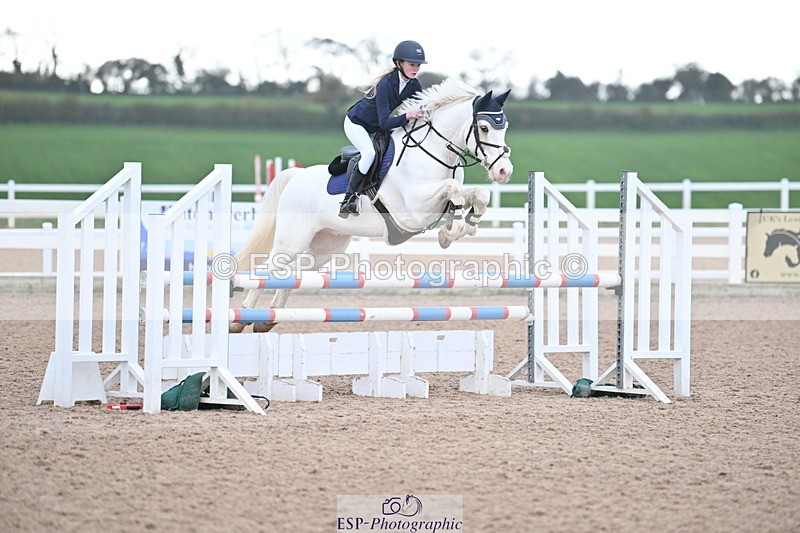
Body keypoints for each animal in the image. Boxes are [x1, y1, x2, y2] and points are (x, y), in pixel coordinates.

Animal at [232, 78, 514, 333]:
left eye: (504, 127)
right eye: (485, 128)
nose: (504, 171)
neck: (432, 152)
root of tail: (295, 176)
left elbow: (477, 194)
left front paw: (465, 226)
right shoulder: (413, 209)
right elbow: (452, 188)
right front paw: (449, 233)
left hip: (325, 246)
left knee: (294, 273)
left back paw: (268, 318)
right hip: (291, 241)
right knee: (267, 270)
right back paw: (243, 318)